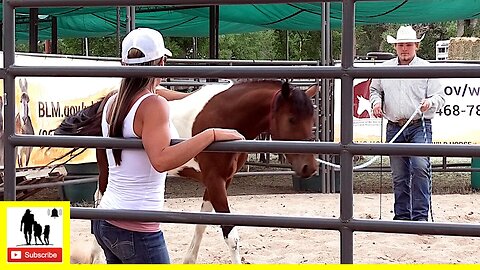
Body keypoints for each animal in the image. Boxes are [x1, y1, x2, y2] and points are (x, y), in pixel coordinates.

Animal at [57, 79, 318, 264]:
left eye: (312, 119)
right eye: (292, 119)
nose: (310, 167)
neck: (225, 117)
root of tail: (111, 99)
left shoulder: (220, 182)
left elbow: (203, 223)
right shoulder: (215, 181)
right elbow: (231, 235)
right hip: (107, 169)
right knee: (100, 199)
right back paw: (96, 257)